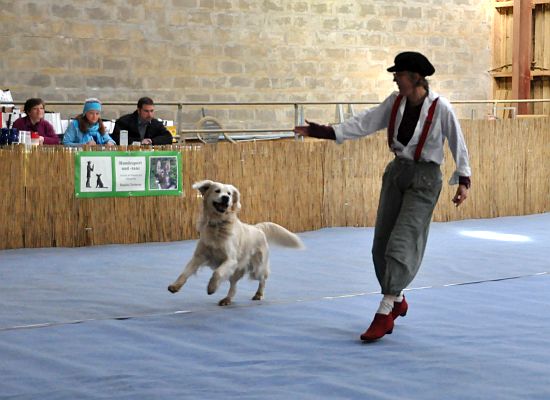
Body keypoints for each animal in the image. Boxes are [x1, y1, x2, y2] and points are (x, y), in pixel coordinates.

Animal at [168, 180, 304, 306]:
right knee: (234, 286)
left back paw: (258, 294)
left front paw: (211, 287)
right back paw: (227, 299)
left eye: (229, 193)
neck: (218, 225)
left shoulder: (230, 260)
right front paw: (175, 286)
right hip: (238, 270)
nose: (226, 198)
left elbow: (217, 273)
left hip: (257, 268)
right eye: (217, 191)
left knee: (263, 279)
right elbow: (185, 272)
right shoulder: (199, 256)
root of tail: (257, 228)